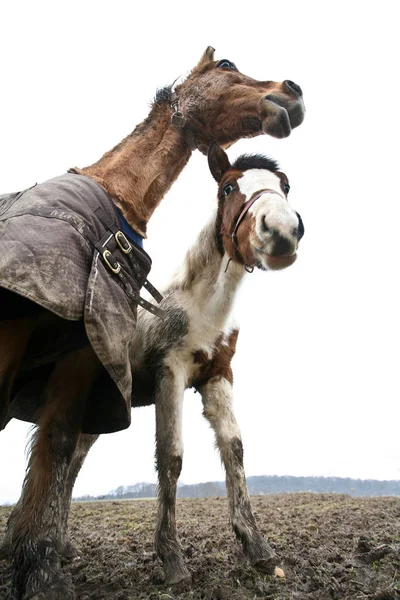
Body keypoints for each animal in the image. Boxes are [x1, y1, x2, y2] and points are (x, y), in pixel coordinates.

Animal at [0, 48, 304, 600]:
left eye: (285, 187)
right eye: (230, 187)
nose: (282, 231)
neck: (200, 306)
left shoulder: (217, 375)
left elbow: (235, 450)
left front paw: (260, 551)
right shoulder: (170, 371)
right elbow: (172, 457)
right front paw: (173, 562)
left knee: (71, 459)